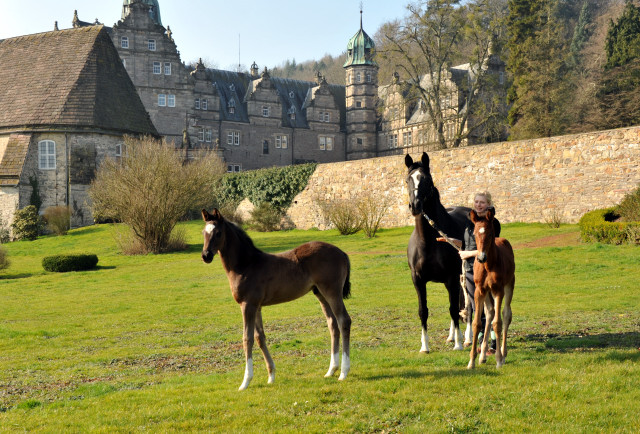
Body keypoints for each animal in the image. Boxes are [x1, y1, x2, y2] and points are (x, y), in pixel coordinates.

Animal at [201, 209, 352, 388]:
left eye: (218, 233)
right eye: (203, 232)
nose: (206, 255)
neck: (246, 265)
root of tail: (341, 253)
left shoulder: (247, 305)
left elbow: (247, 339)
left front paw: (245, 381)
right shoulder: (257, 306)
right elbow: (260, 337)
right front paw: (271, 376)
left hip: (332, 292)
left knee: (344, 321)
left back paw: (343, 372)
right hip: (320, 293)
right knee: (333, 324)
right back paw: (331, 370)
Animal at [404, 153, 470, 352]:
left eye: (426, 179)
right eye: (408, 179)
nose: (415, 206)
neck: (428, 241)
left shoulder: (451, 277)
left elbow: (453, 309)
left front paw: (458, 345)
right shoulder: (418, 280)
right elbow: (423, 311)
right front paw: (425, 346)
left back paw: (467, 338)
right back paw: (452, 336)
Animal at [468, 209, 516, 368]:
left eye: (489, 234)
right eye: (474, 233)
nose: (480, 257)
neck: (488, 265)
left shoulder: (498, 290)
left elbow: (498, 323)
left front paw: (499, 360)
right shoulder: (479, 290)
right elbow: (477, 323)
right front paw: (471, 361)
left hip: (509, 285)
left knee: (506, 314)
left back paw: (503, 354)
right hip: (487, 293)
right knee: (489, 313)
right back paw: (482, 355)